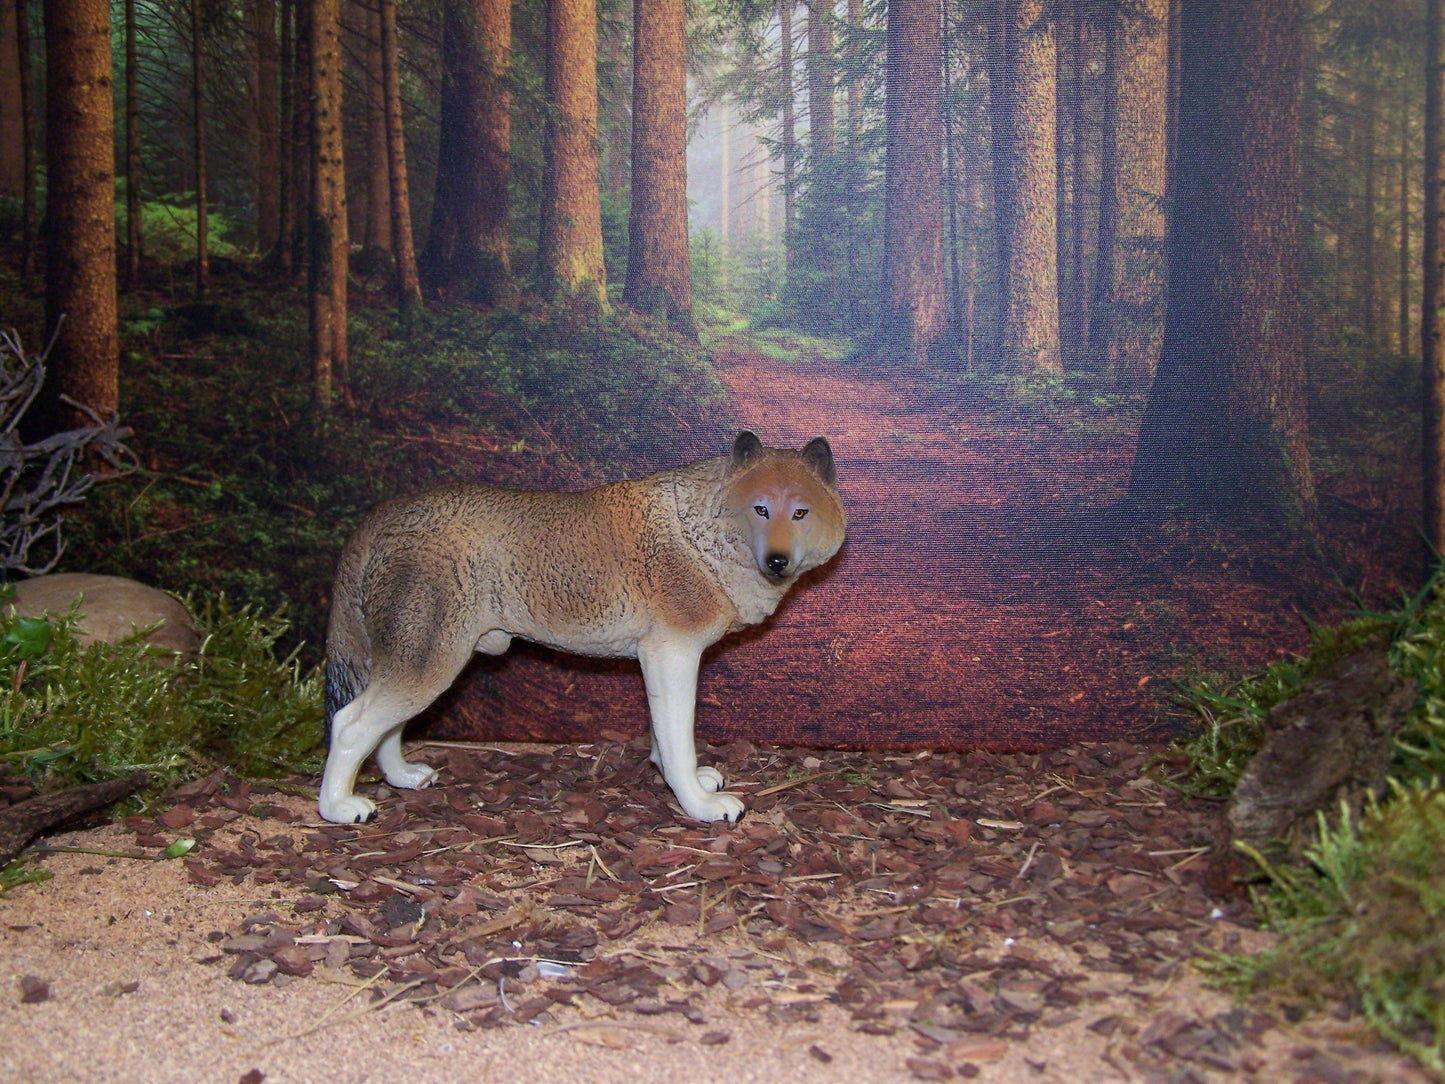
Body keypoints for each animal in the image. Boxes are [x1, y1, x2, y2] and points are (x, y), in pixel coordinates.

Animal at [317, 430, 846, 825]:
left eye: (800, 513)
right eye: (761, 509)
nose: (777, 561)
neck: (701, 533)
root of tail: (385, 514)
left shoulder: (658, 659)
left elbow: (662, 739)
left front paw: (682, 781)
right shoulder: (673, 655)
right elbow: (679, 743)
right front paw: (699, 803)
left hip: (421, 662)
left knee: (386, 730)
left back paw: (404, 777)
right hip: (432, 664)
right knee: (349, 725)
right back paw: (339, 807)